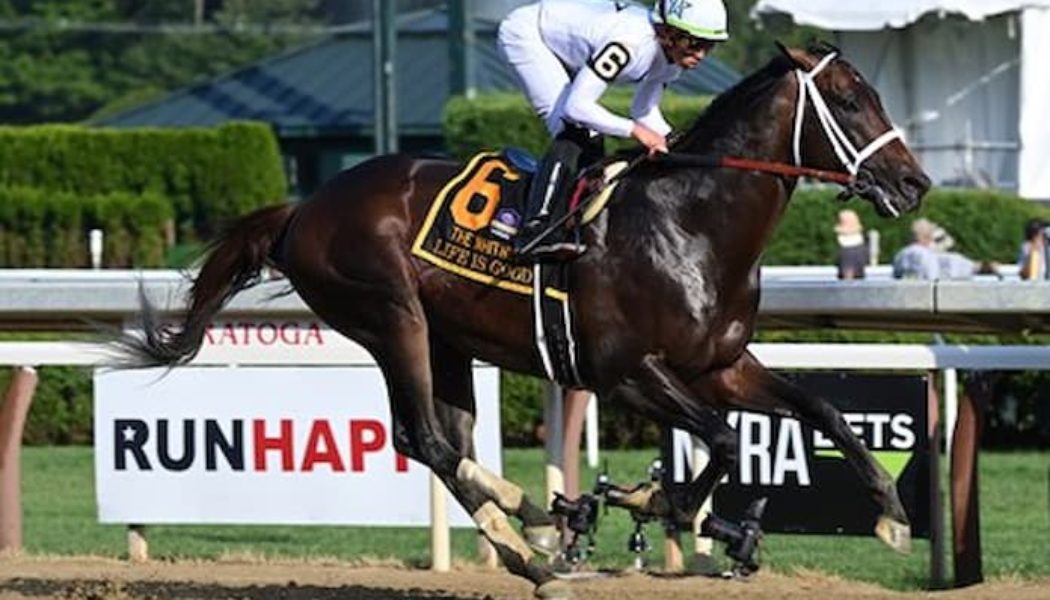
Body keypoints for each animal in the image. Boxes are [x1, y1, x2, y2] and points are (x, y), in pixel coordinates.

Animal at [116, 44, 930, 599]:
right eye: (849, 100)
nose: (915, 182)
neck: (688, 223)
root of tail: (304, 206)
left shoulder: (720, 366)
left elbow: (820, 407)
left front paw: (891, 512)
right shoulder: (626, 374)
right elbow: (724, 440)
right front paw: (653, 499)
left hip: (445, 340)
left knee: (447, 443)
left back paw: (532, 525)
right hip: (390, 317)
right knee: (423, 439)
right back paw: (534, 537)